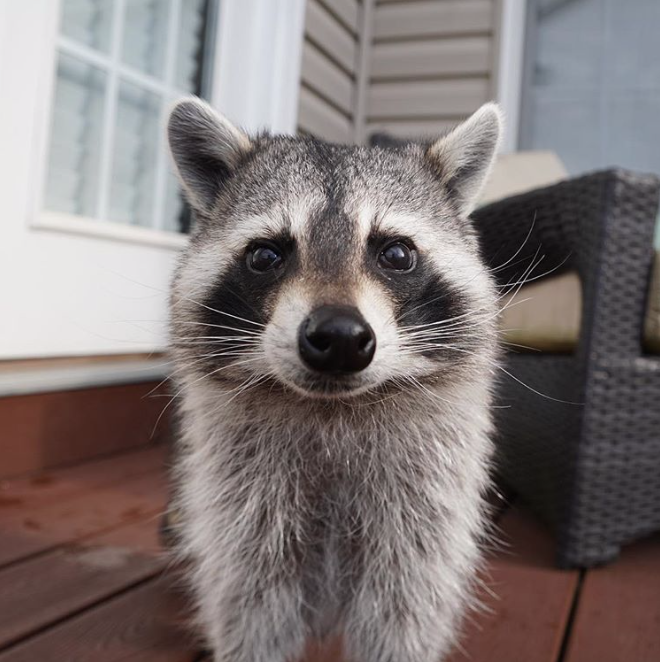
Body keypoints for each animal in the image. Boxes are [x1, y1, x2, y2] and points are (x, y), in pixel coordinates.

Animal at [167, 98, 503, 662]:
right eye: (265, 254)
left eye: (396, 253)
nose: (341, 337)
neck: (332, 407)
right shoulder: (243, 506)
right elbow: (250, 606)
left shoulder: (423, 511)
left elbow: (402, 613)